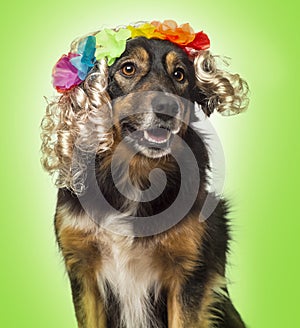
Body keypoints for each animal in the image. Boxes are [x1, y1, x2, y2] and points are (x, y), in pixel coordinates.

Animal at [41, 21, 250, 328]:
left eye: (179, 74)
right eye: (128, 68)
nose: (167, 108)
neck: (135, 171)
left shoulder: (189, 275)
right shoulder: (83, 270)